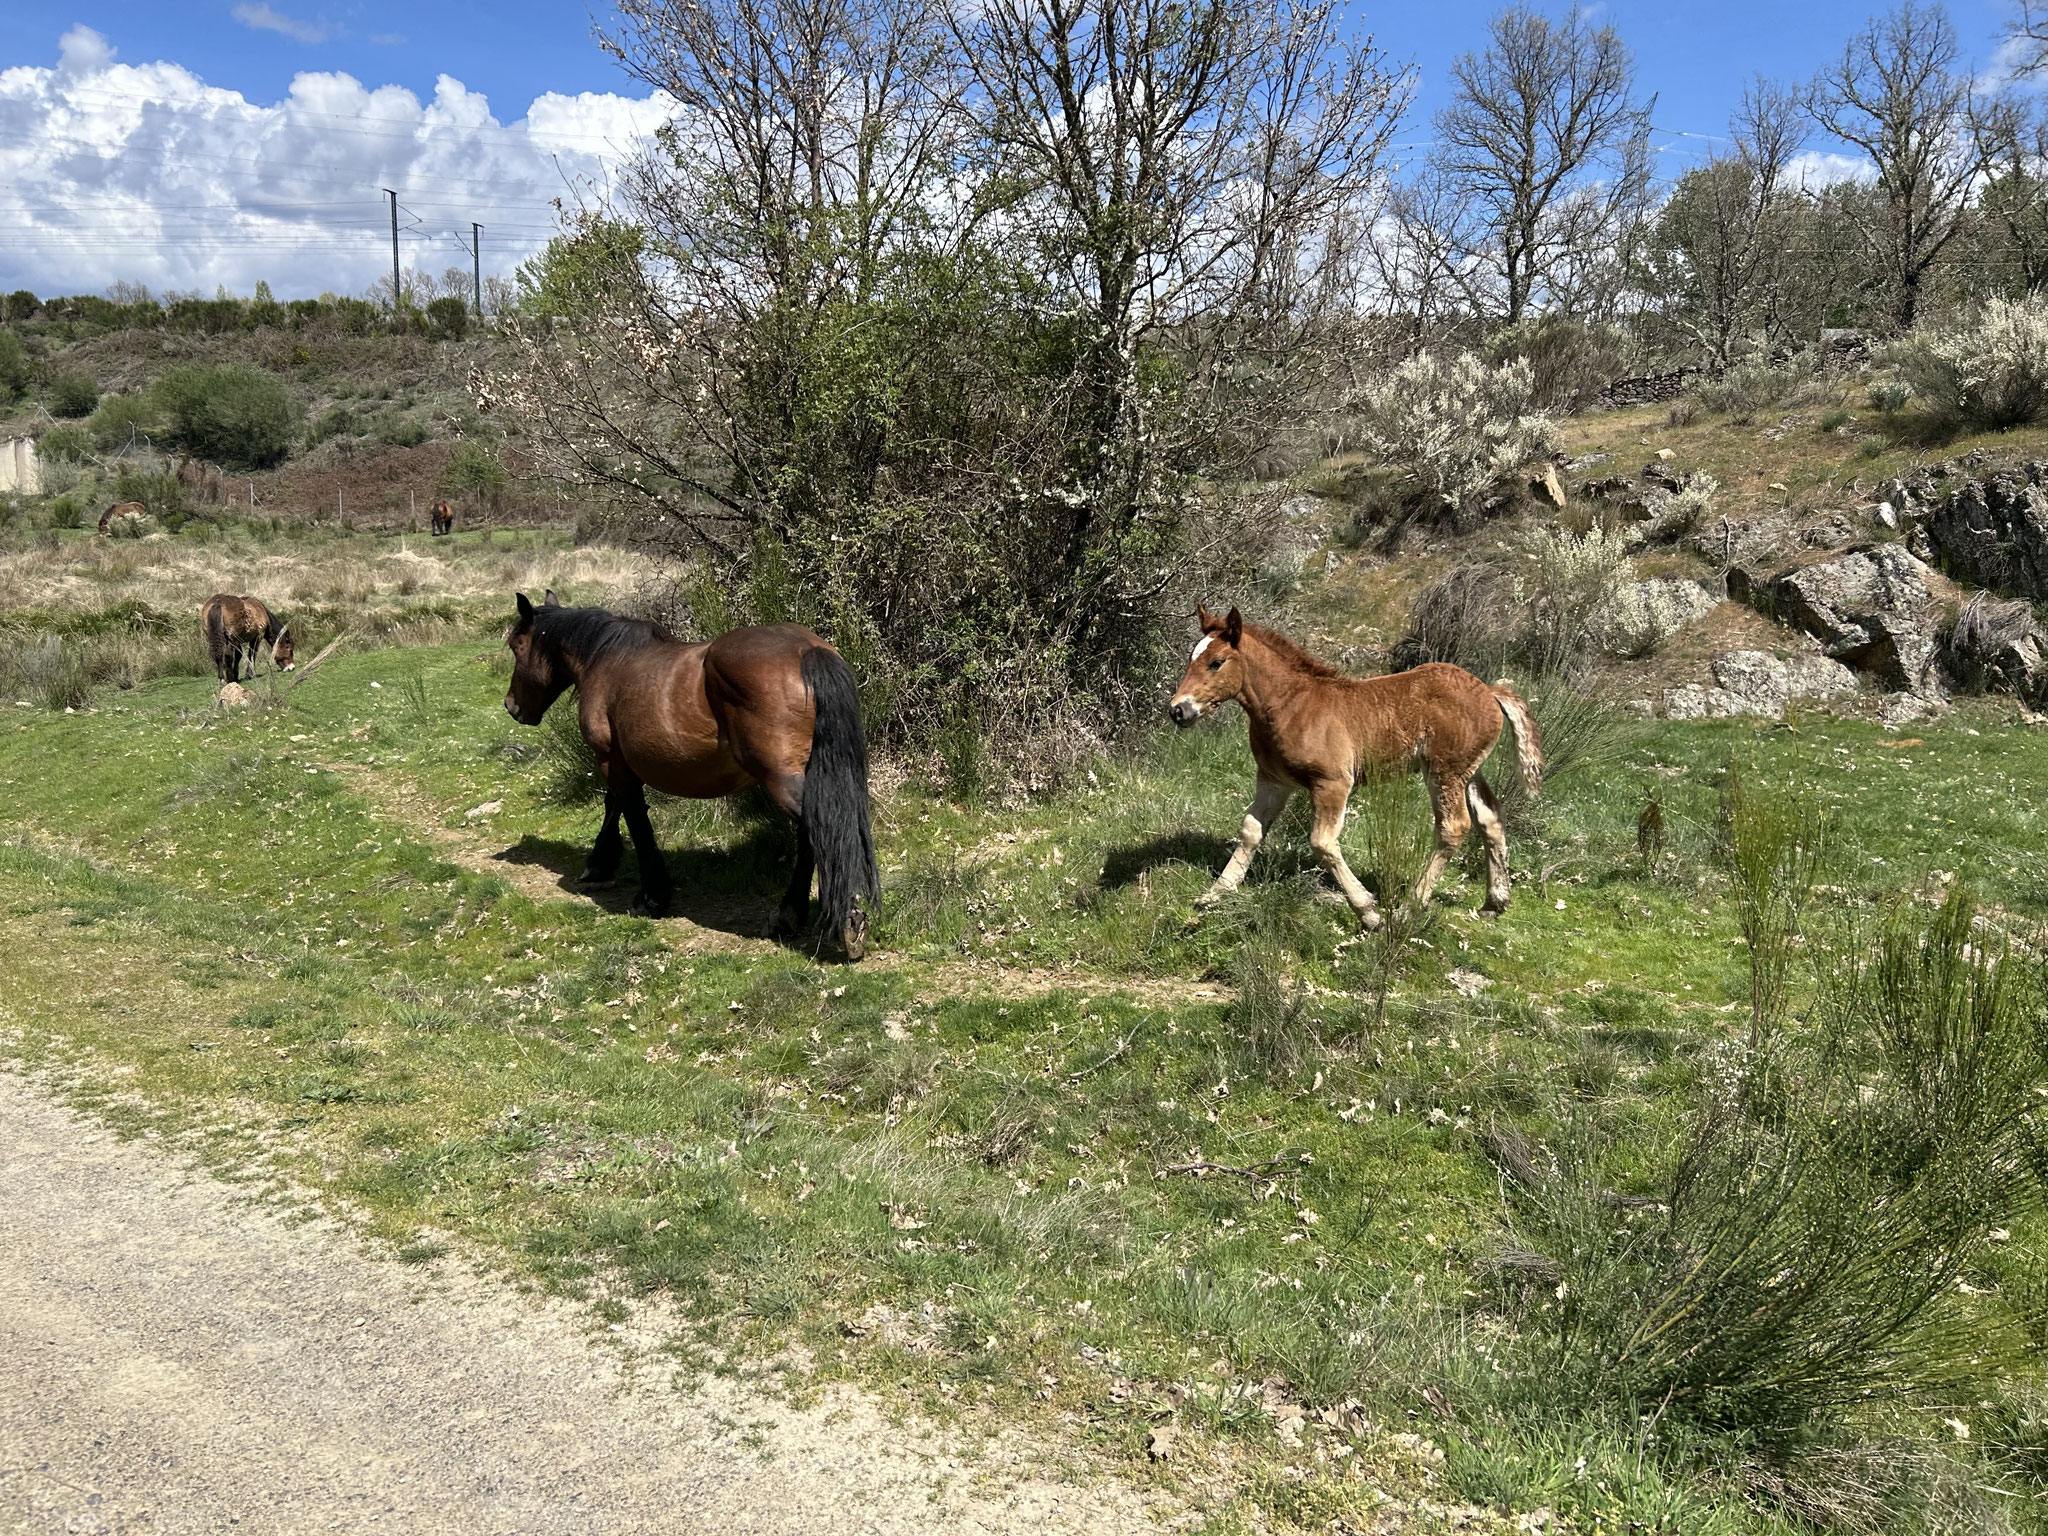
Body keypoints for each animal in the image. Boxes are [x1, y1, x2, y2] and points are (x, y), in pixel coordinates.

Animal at [503, 592, 879, 958]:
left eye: (516, 646)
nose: (511, 706)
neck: (608, 660)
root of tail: (807, 651)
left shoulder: (610, 759)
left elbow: (634, 818)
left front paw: (651, 896)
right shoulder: (618, 762)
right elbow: (615, 807)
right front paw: (600, 863)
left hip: (781, 779)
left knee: (820, 831)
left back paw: (828, 918)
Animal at [1167, 606, 1542, 929]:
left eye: (1216, 662)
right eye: (1191, 659)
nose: (1178, 710)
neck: (1290, 705)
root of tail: (1489, 691)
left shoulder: (1332, 783)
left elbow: (1322, 843)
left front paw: (1368, 912)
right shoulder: (1273, 780)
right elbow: (1250, 831)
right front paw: (1214, 895)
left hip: (1444, 771)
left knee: (1454, 827)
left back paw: (1408, 910)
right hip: (1467, 771)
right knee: (1490, 819)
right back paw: (1495, 902)